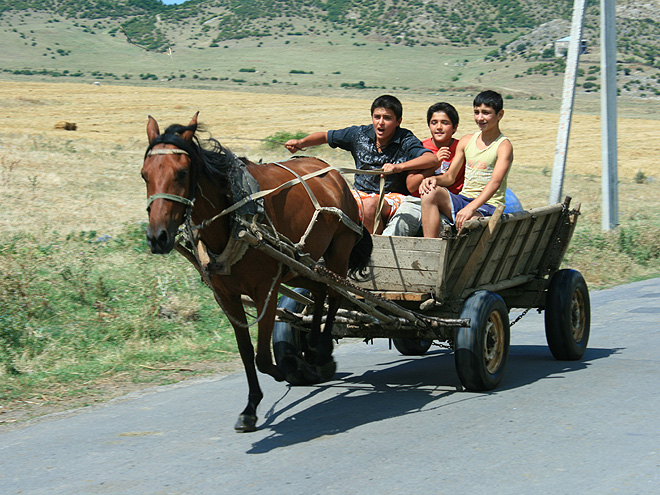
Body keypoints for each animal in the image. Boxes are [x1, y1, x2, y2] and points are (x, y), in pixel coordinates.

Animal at [141, 114, 372, 432]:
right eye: (144, 175)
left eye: (182, 173)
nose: (158, 237)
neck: (235, 219)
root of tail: (333, 172)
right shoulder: (227, 297)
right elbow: (246, 353)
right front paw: (251, 408)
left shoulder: (266, 290)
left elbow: (263, 357)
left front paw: (292, 368)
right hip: (297, 262)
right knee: (319, 289)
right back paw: (312, 347)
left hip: (338, 251)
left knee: (335, 294)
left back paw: (321, 351)